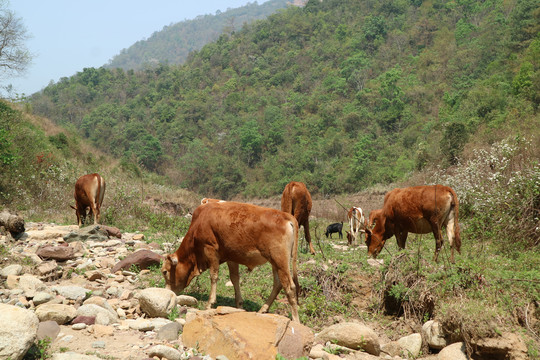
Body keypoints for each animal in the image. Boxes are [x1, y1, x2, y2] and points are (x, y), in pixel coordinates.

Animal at [162, 201, 302, 322]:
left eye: (164, 271)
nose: (167, 292)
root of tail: (286, 215)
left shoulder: (210, 249)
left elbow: (214, 276)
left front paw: (210, 303)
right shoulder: (231, 256)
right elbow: (235, 278)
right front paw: (239, 305)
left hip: (280, 260)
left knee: (290, 287)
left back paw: (295, 319)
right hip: (274, 261)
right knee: (278, 284)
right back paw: (263, 309)